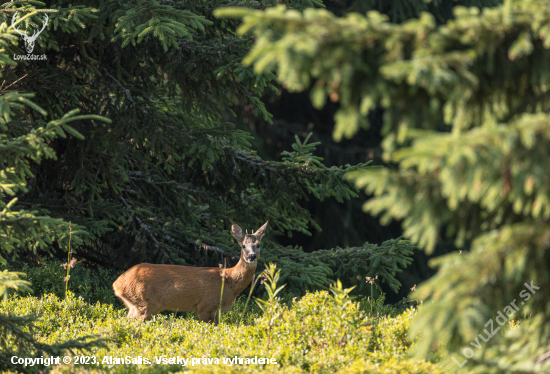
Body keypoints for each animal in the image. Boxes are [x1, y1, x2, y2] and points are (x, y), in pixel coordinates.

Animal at [112, 221, 268, 322]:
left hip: (134, 304)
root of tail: (117, 283)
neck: (229, 281)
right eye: (243, 246)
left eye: (258, 245)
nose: (251, 256)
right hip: (146, 303)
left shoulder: (217, 312)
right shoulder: (206, 306)